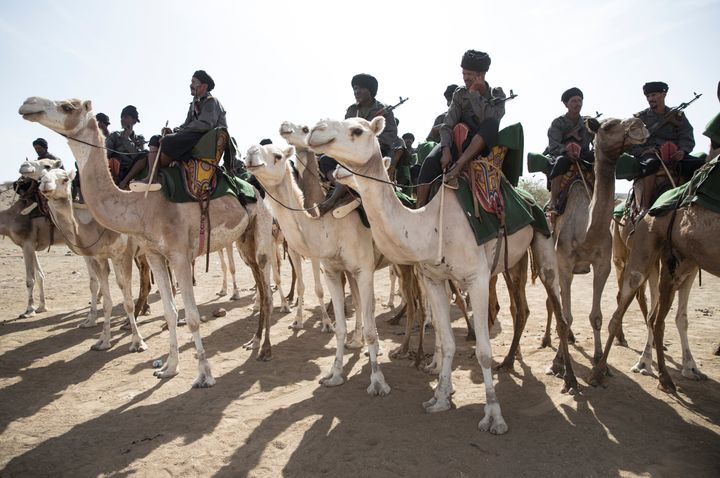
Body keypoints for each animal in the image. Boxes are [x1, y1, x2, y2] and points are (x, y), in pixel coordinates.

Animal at [19, 98, 274, 388]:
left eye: (67, 107)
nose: (28, 104)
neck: (140, 206)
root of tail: (256, 190)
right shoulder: (153, 254)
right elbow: (171, 312)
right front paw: (169, 368)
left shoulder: (178, 255)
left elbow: (193, 317)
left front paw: (204, 375)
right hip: (244, 241)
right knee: (260, 286)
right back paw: (253, 341)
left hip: (262, 229)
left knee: (267, 288)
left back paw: (265, 349)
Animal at [248, 143, 394, 396]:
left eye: (277, 156)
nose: (249, 154)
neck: (329, 228)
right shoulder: (334, 271)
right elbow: (341, 327)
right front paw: (334, 375)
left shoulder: (364, 270)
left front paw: (377, 382)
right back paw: (358, 343)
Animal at [306, 115, 576, 434]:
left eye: (357, 130)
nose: (315, 130)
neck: (432, 226)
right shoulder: (433, 278)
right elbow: (447, 341)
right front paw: (440, 398)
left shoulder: (476, 279)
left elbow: (484, 350)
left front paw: (494, 416)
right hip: (513, 262)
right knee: (520, 308)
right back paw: (511, 362)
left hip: (543, 241)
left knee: (557, 309)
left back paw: (568, 378)